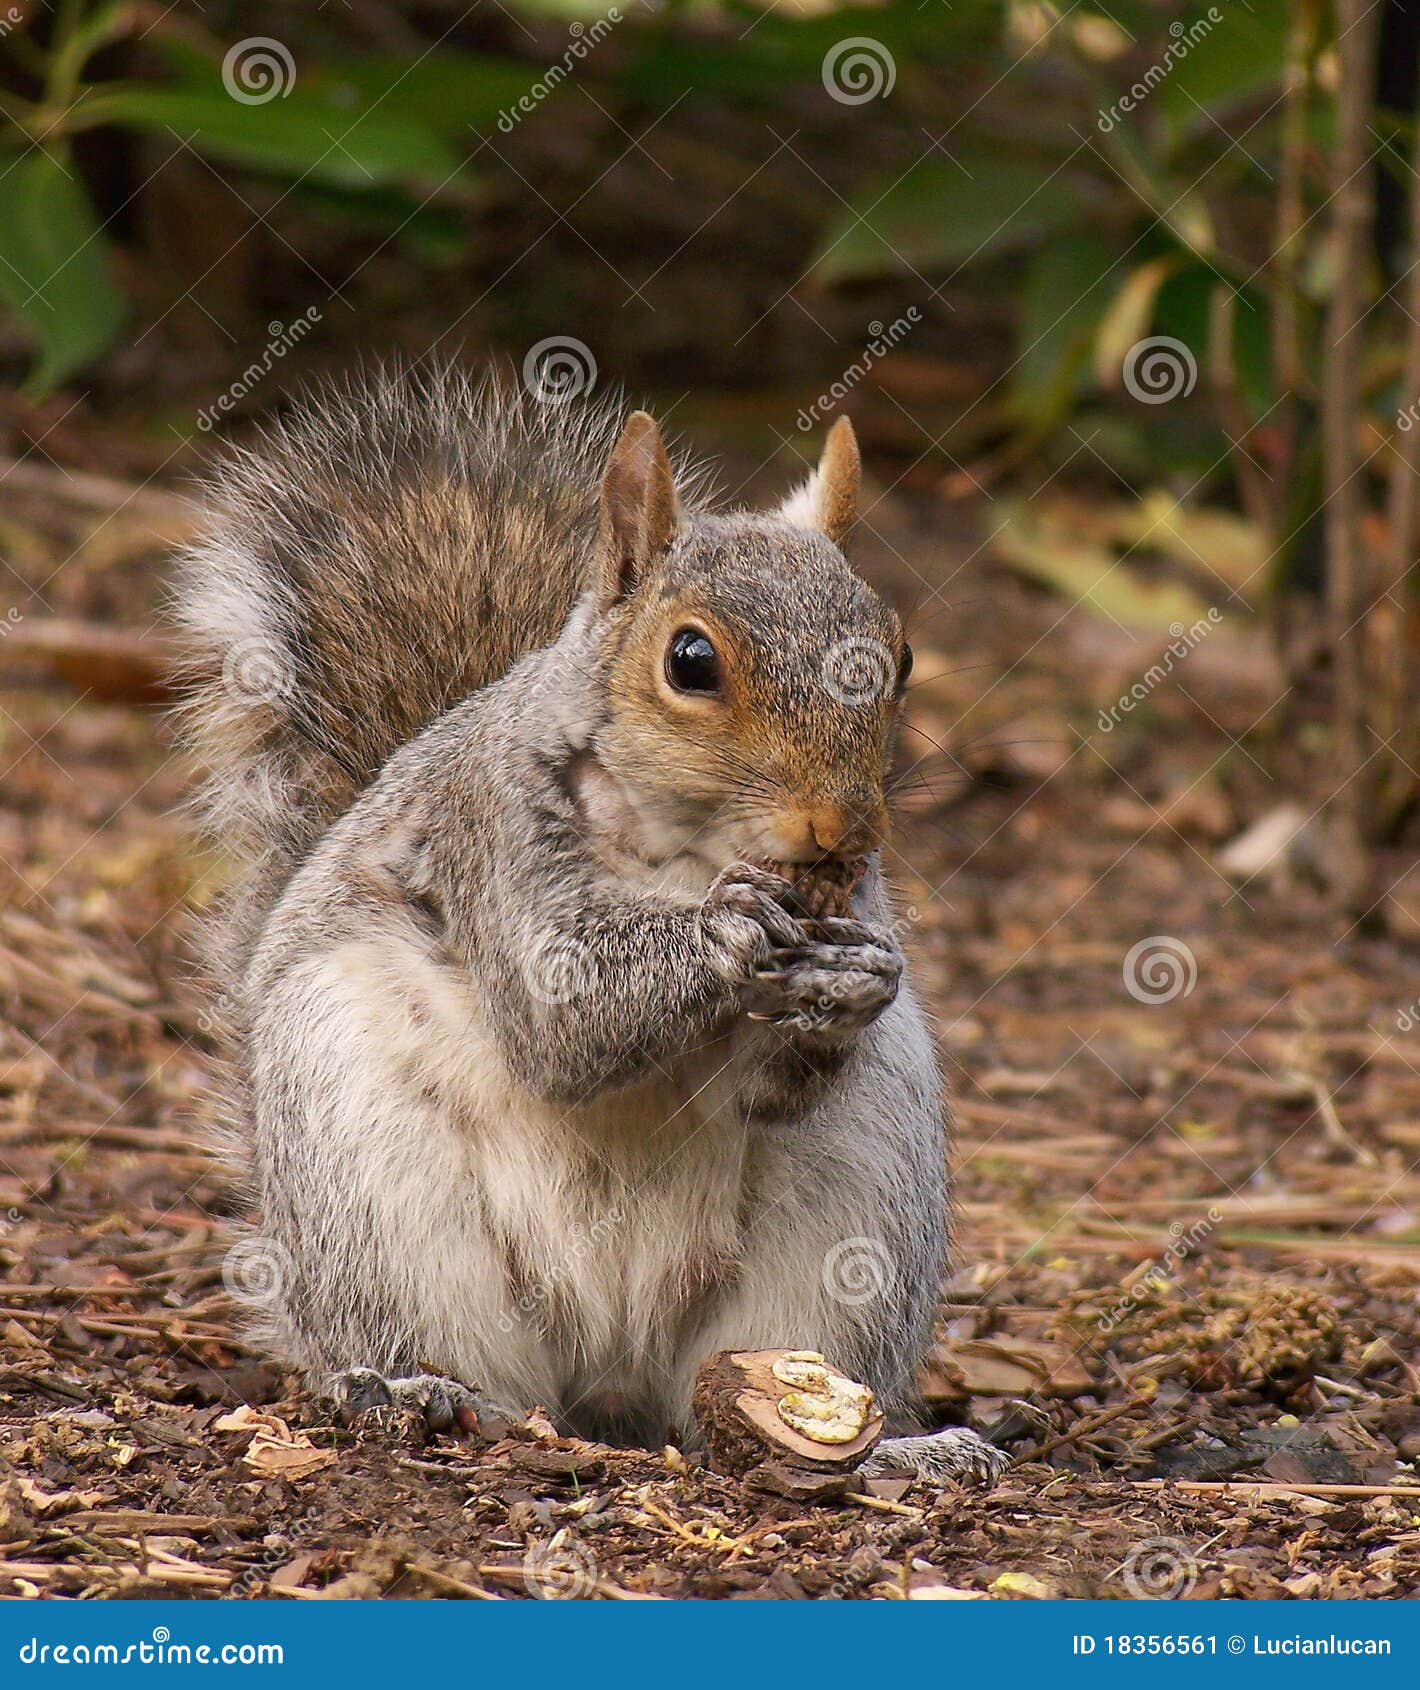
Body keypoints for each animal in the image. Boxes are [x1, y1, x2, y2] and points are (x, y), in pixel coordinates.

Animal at [173, 365, 1005, 1484]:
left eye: (903, 655)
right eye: (690, 660)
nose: (840, 829)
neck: (685, 851)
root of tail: (609, 1376)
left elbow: (775, 1083)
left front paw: (862, 976)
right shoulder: (492, 836)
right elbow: (561, 1023)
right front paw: (732, 932)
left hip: (851, 1213)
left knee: (752, 1388)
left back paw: (895, 1449)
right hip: (366, 1175)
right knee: (427, 1339)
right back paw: (421, 1392)